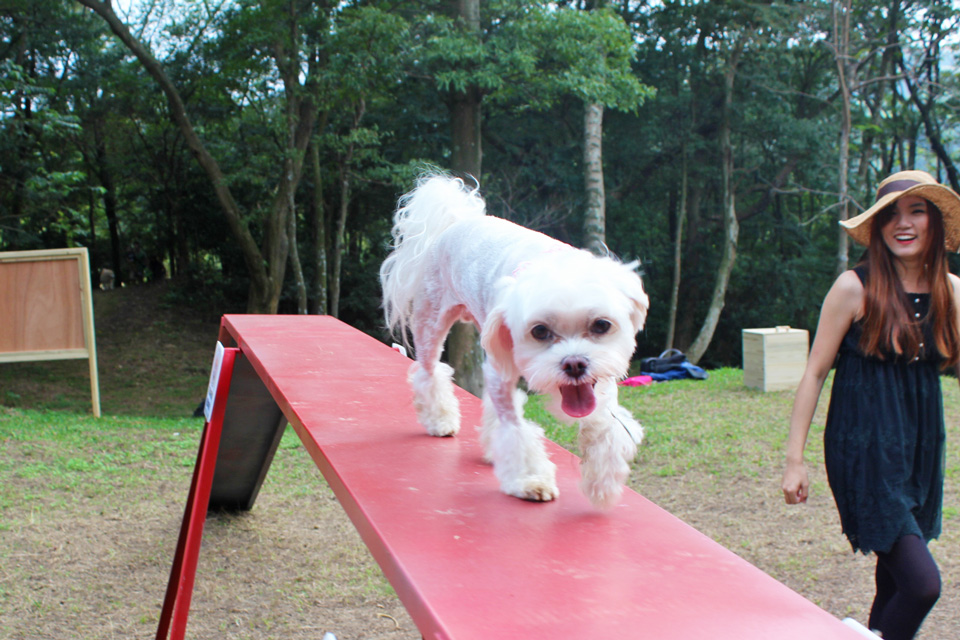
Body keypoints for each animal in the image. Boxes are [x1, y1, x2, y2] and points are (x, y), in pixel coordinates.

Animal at [378, 175, 648, 510]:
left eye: (601, 325)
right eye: (540, 331)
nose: (575, 364)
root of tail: (457, 220)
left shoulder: (603, 377)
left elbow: (605, 426)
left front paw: (603, 483)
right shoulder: (500, 373)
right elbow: (515, 430)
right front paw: (529, 479)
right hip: (430, 323)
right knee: (429, 371)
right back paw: (439, 420)